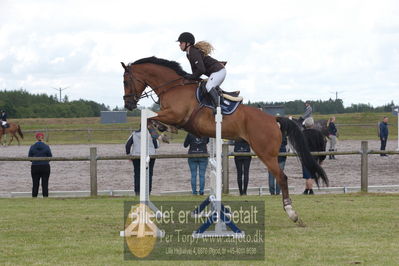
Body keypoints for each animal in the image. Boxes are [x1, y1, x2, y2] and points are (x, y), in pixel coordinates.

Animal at [121, 56, 328, 224]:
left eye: (125, 81)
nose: (128, 104)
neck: (173, 87)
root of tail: (273, 119)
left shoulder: (175, 115)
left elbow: (151, 119)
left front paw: (164, 133)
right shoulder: (173, 117)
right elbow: (154, 120)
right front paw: (165, 131)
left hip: (265, 153)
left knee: (282, 177)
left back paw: (292, 213)